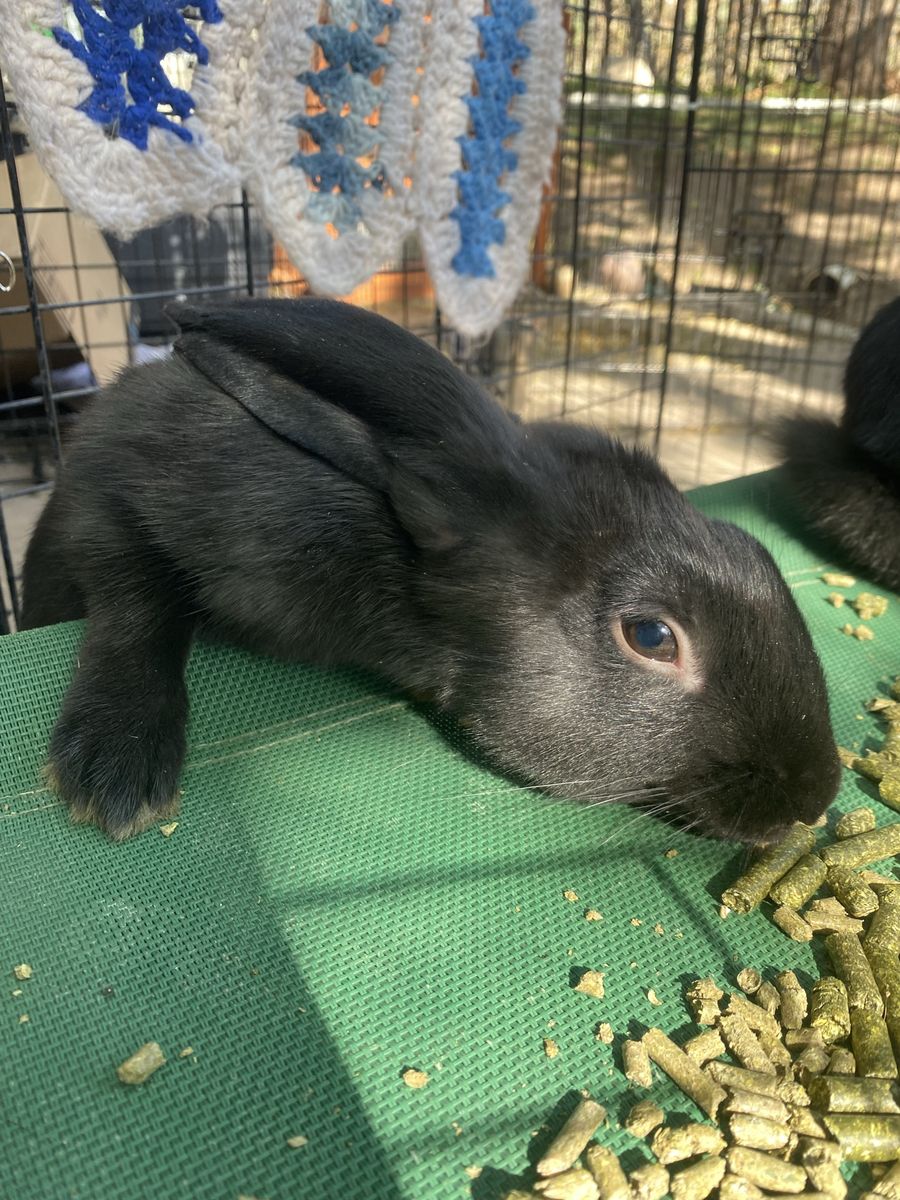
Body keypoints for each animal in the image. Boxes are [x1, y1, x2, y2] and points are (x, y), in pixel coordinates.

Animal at [20, 298, 840, 844]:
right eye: (651, 636)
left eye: (757, 552)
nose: (815, 796)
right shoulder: (112, 487)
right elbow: (136, 601)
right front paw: (116, 772)